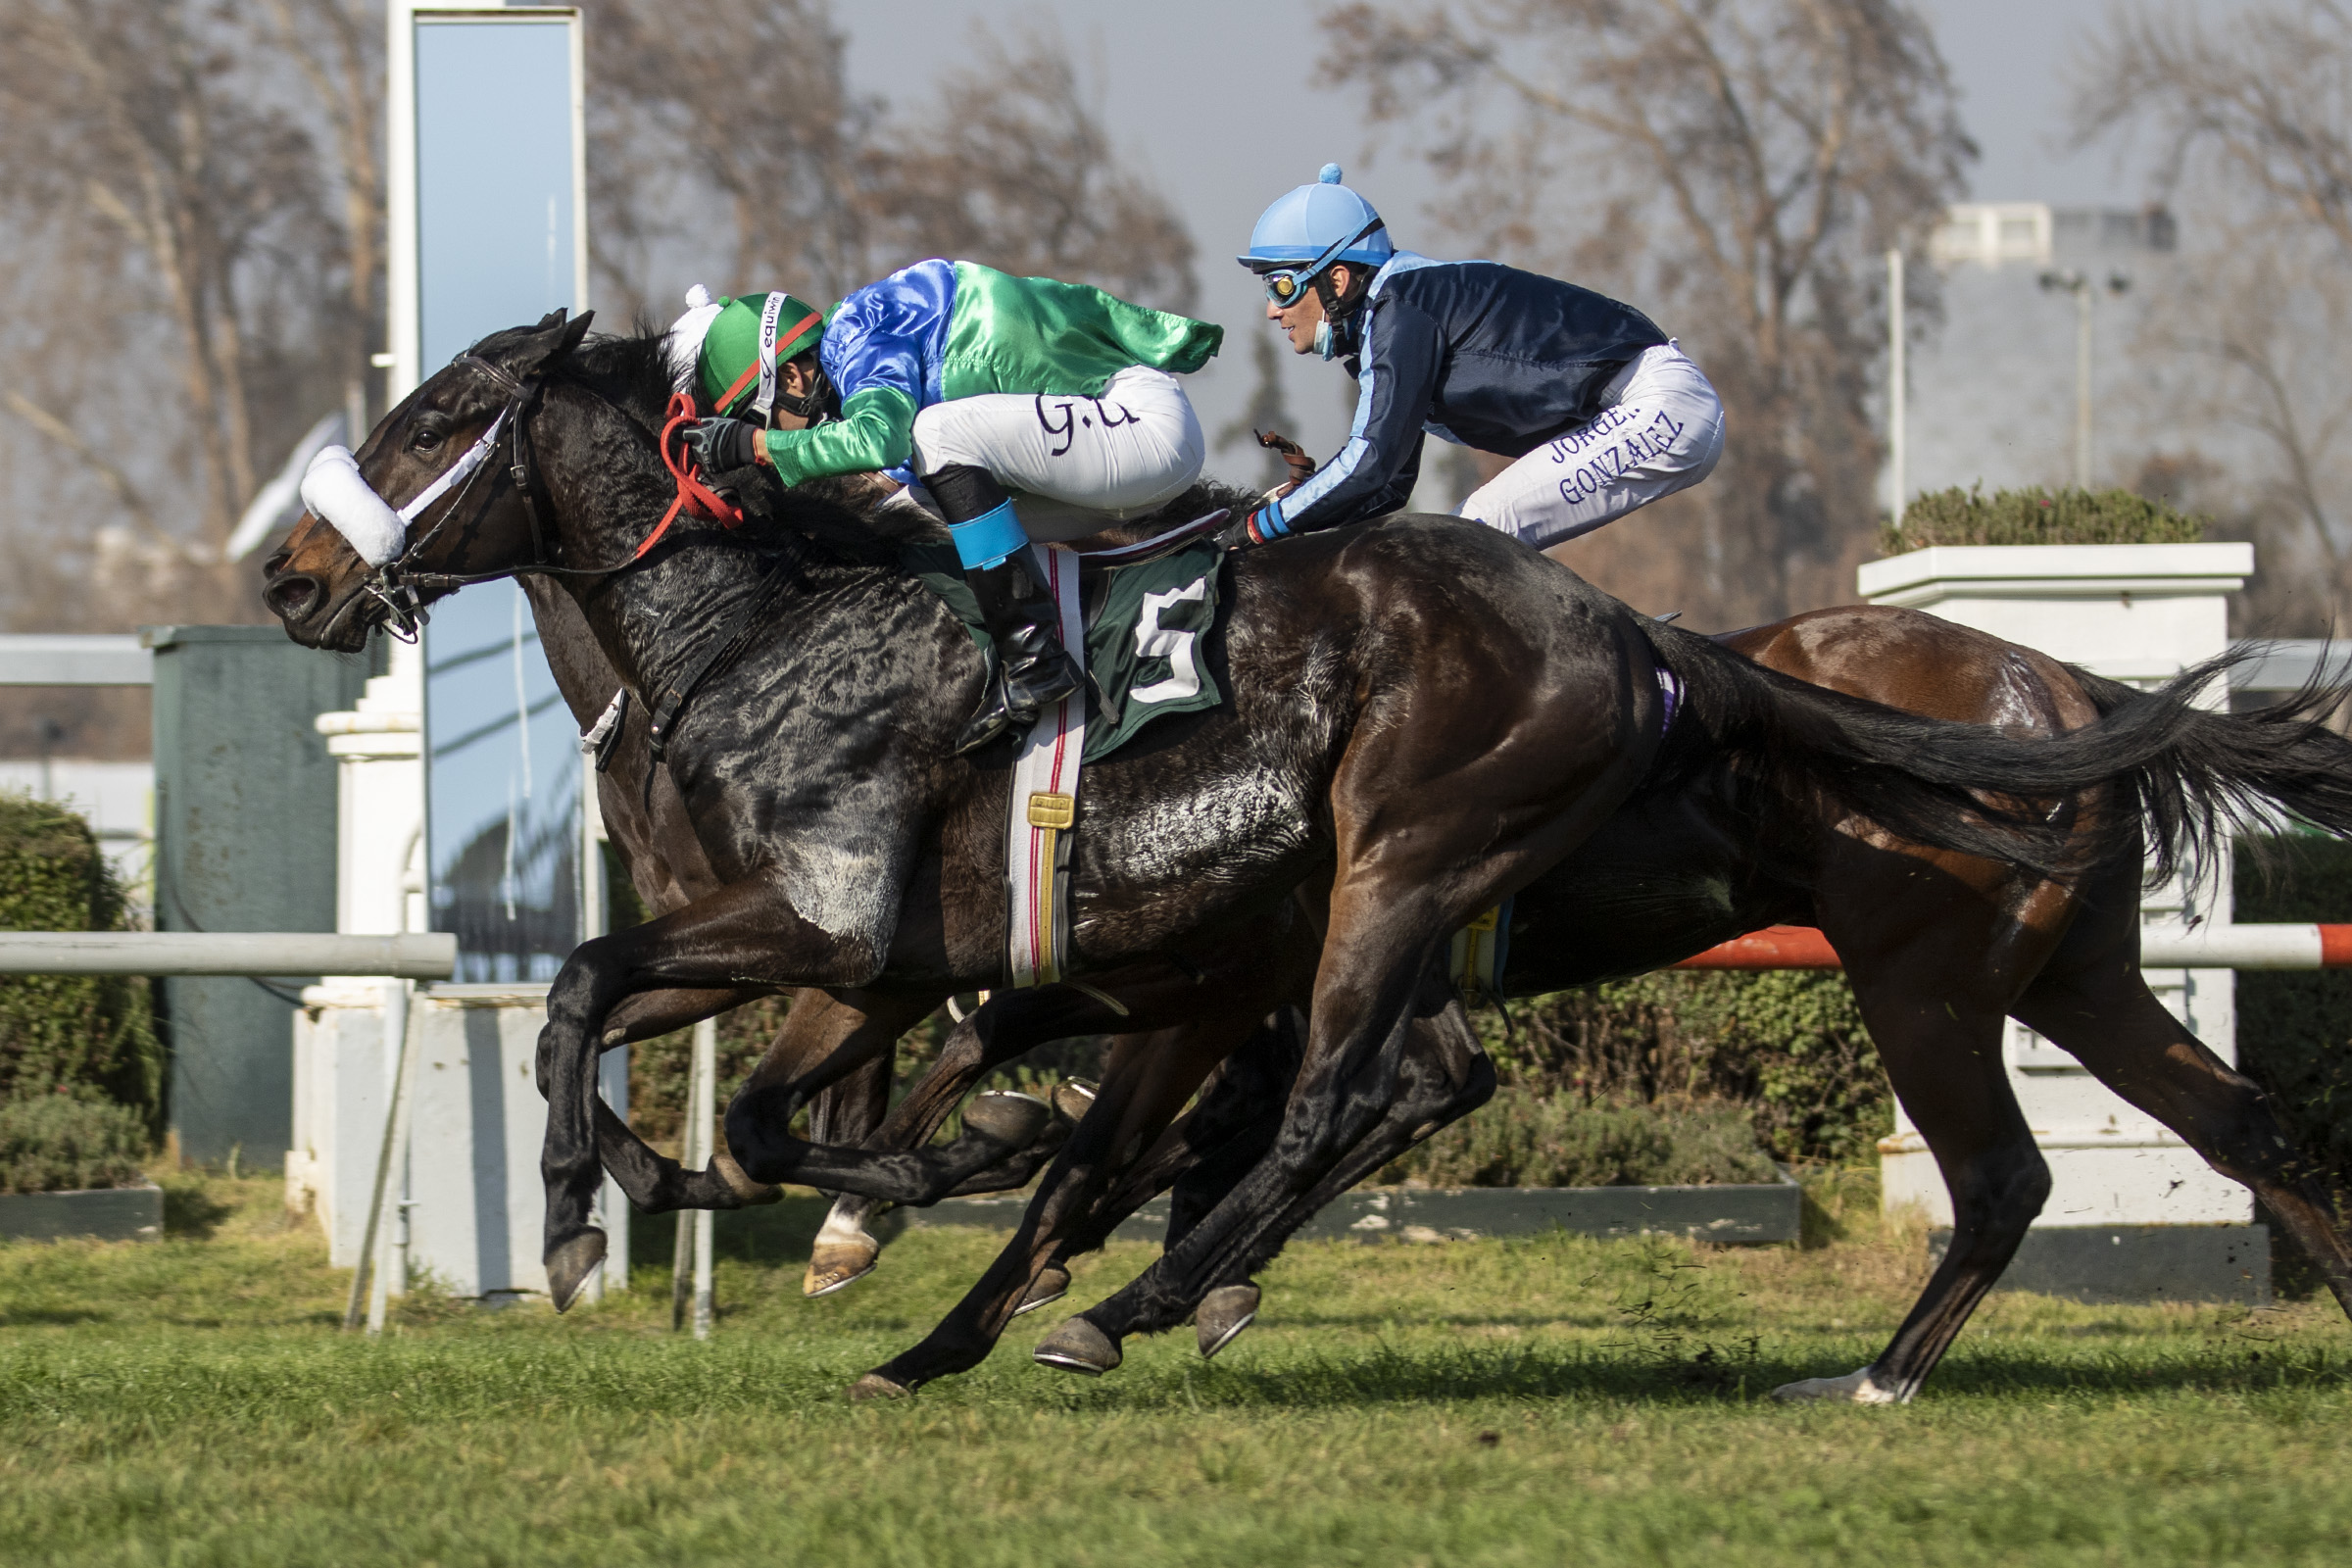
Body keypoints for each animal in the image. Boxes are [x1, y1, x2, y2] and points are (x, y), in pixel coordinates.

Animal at [259, 309, 2256, 1339]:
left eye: (438, 414)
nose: (289, 575)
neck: (763, 626)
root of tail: (1631, 637)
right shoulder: (855, 960)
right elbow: (644, 1046)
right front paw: (629, 1206)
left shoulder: (833, 932)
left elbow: (676, 1038)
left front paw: (900, 1183)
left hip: (1440, 875)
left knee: (1374, 1089)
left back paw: (1149, 1288)